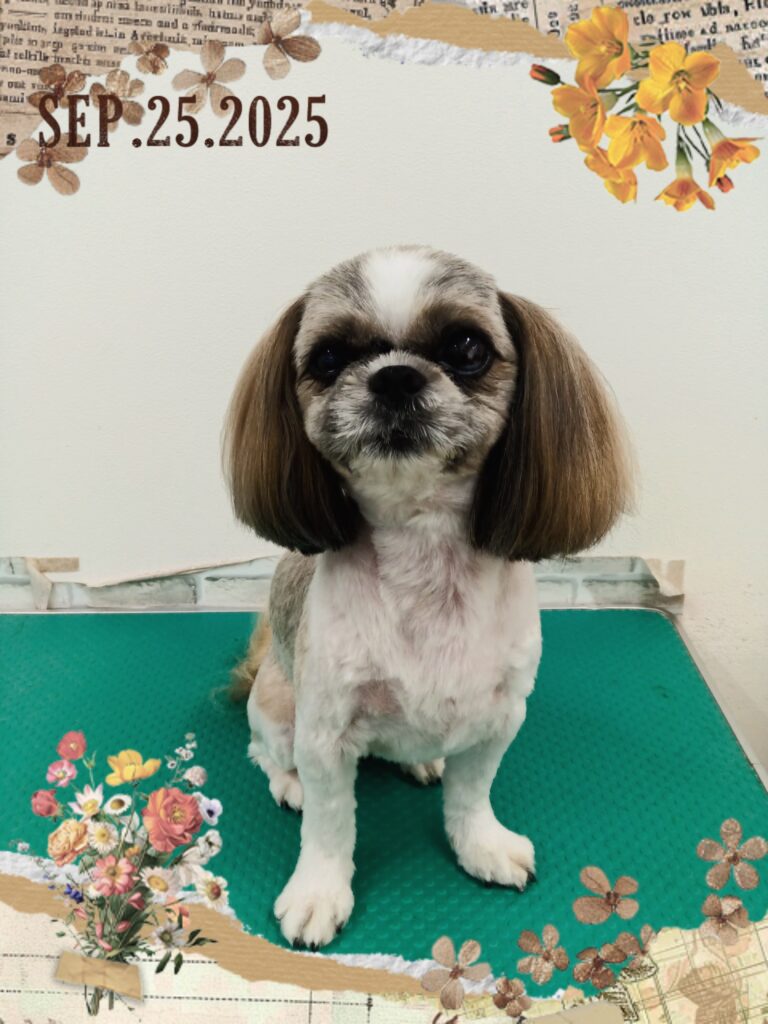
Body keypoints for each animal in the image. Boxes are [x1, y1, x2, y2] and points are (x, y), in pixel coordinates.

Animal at [224, 245, 631, 948]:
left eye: (466, 347)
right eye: (328, 357)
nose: (394, 378)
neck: (423, 549)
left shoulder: (501, 714)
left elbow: (472, 796)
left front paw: (482, 846)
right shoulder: (325, 729)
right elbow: (331, 825)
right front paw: (318, 892)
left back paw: (424, 763)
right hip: (276, 705)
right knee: (263, 752)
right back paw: (289, 783)